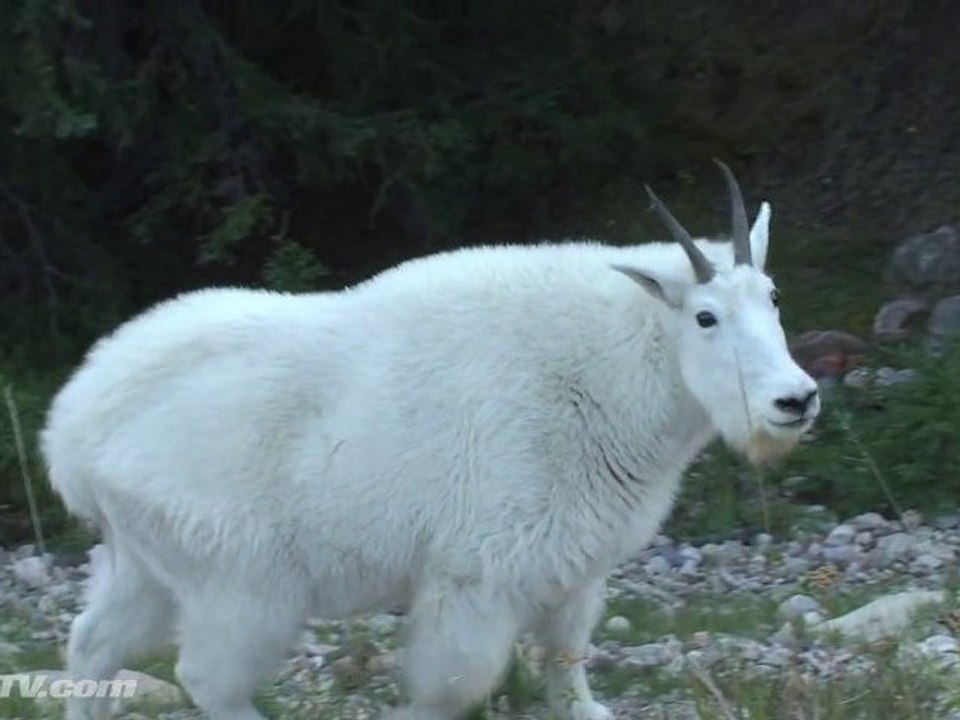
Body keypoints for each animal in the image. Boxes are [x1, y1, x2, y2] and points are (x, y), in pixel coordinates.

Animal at [41, 161, 819, 720]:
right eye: (706, 317)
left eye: (775, 296)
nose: (794, 400)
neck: (603, 372)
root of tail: (73, 433)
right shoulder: (479, 570)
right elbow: (451, 686)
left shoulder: (574, 565)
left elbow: (568, 671)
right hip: (241, 576)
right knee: (207, 677)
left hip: (145, 560)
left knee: (94, 646)